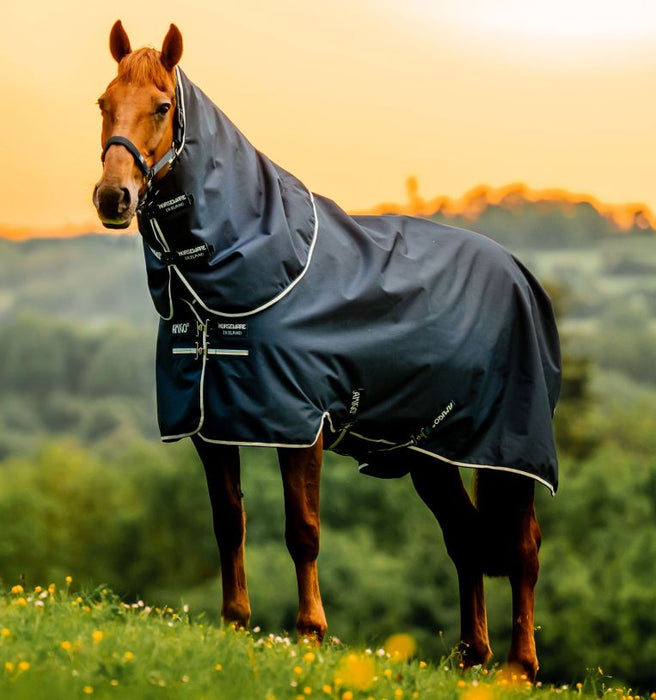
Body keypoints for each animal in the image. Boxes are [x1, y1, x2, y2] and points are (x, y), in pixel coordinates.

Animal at [93, 21, 561, 681]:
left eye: (162, 107)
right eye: (103, 104)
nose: (113, 198)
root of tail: (520, 274)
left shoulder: (299, 423)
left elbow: (303, 530)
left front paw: (311, 633)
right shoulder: (210, 424)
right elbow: (228, 522)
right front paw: (235, 623)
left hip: (510, 450)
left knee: (523, 547)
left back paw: (519, 666)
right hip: (431, 454)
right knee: (466, 538)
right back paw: (472, 657)